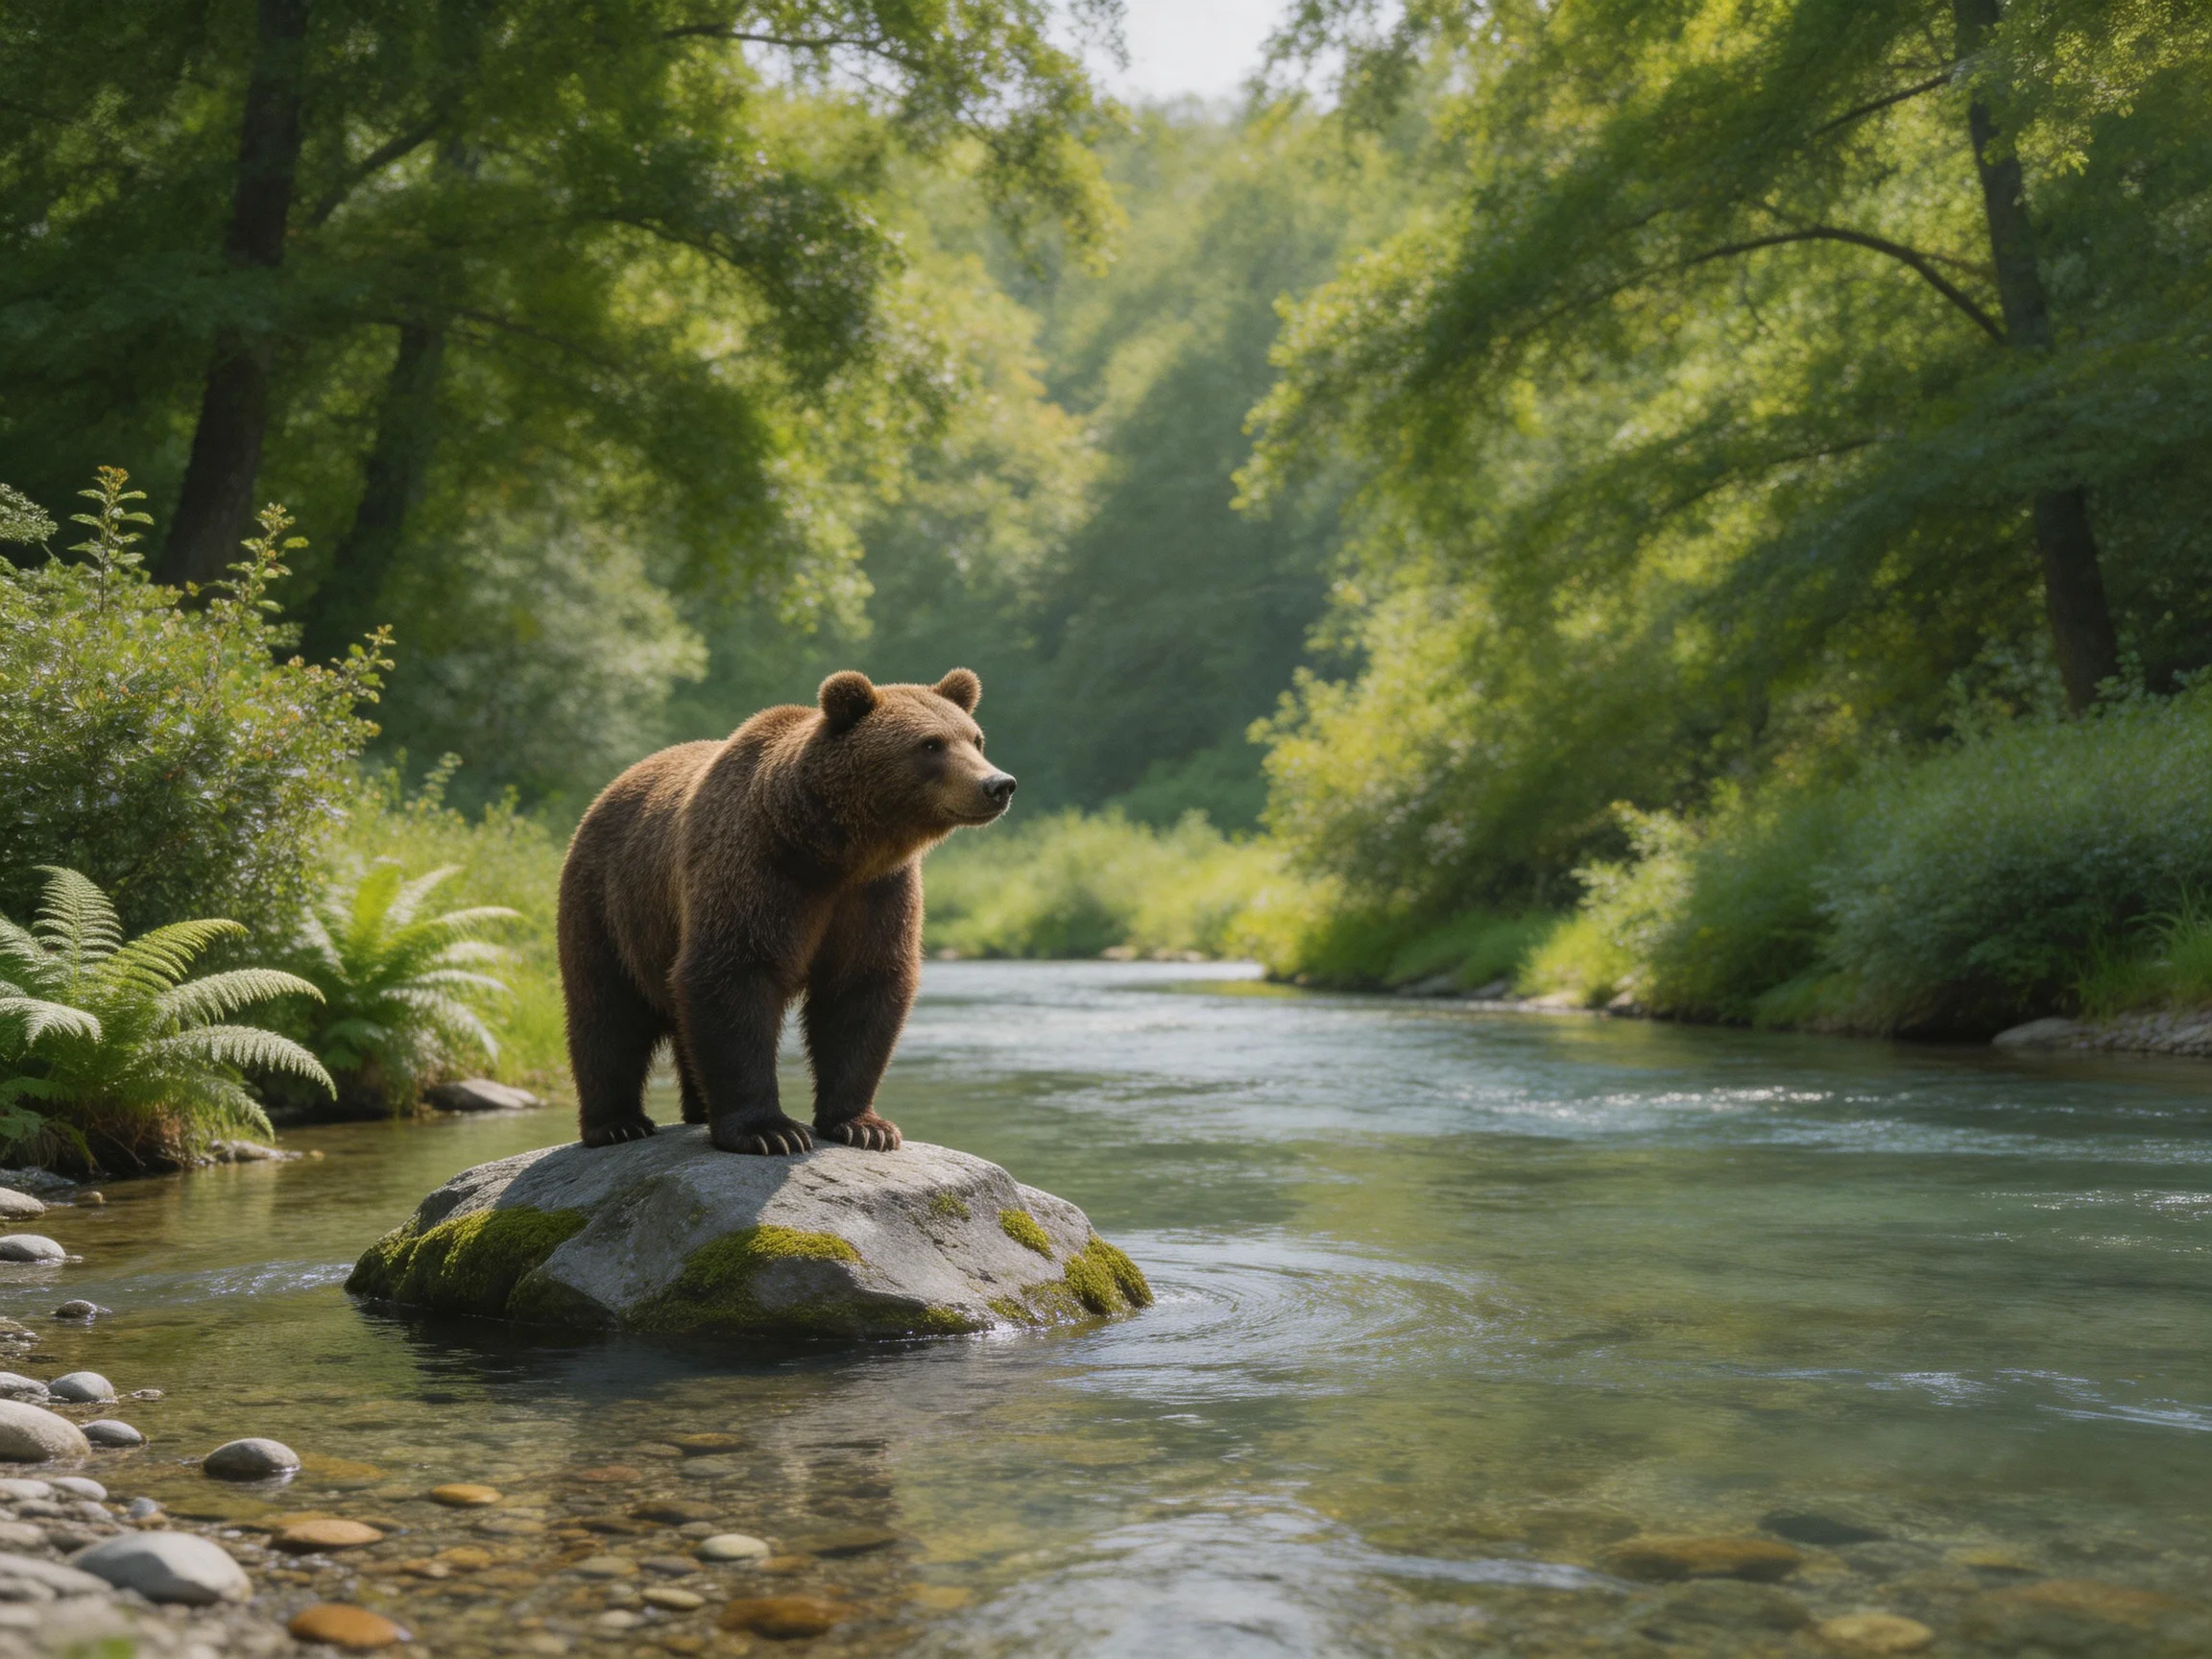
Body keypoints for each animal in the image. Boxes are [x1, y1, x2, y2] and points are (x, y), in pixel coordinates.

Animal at [557, 668, 1014, 1156]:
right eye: (930, 744)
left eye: (975, 738)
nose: (998, 784)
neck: (832, 849)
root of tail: (607, 791)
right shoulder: (757, 871)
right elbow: (733, 975)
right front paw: (771, 1131)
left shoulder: (877, 893)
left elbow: (862, 989)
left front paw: (865, 1126)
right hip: (608, 901)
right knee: (606, 1011)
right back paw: (617, 1124)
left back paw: (697, 1110)